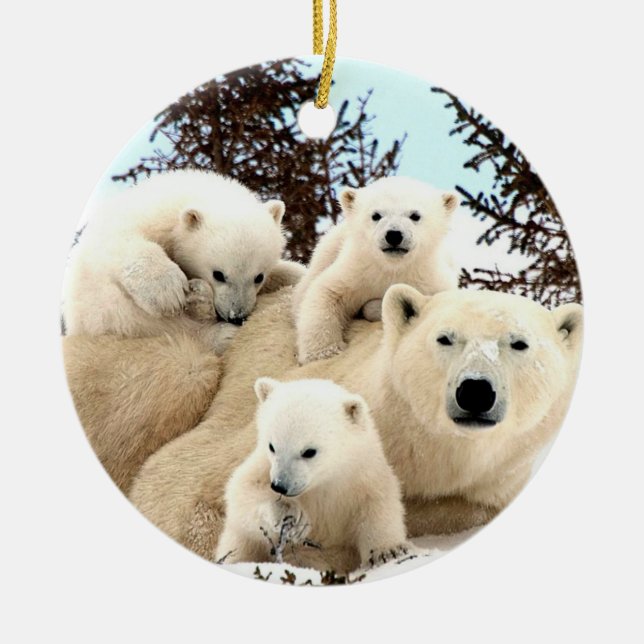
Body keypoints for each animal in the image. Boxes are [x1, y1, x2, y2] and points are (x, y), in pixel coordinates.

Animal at [62, 169, 305, 353]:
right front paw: (167, 292)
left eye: (258, 277)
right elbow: (123, 241)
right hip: (111, 314)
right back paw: (217, 329)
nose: (236, 316)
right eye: (218, 274)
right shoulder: (138, 221)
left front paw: (295, 273)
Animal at [216, 378, 417, 571]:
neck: (324, 481)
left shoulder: (364, 475)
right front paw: (291, 516)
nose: (280, 485)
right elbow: (242, 492)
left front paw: (388, 552)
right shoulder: (263, 466)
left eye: (309, 451)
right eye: (271, 446)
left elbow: (379, 505)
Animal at [292, 176, 459, 363]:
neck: (392, 268)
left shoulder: (429, 279)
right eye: (376, 215)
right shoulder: (357, 271)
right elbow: (327, 293)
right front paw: (323, 352)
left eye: (415, 215)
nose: (394, 235)